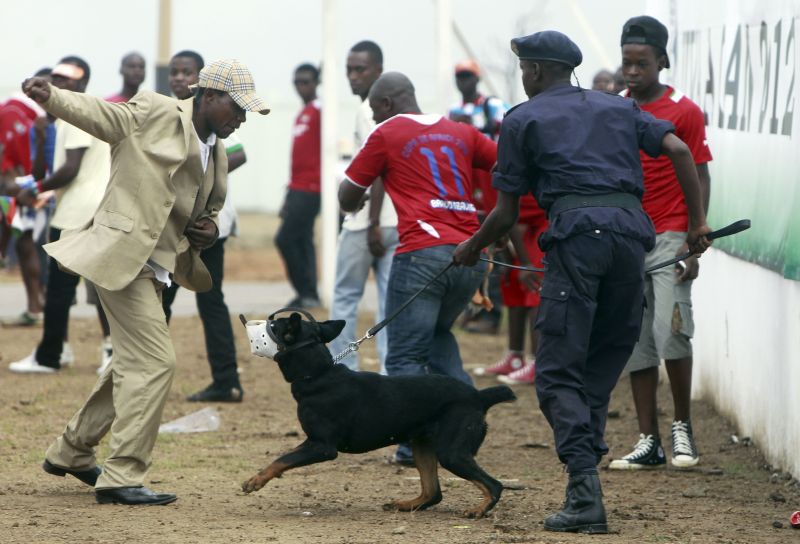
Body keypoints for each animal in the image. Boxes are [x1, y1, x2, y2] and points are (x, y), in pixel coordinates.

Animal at [244, 312, 516, 516]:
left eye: (272, 325)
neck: (317, 373)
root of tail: (478, 396)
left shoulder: (321, 446)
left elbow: (283, 458)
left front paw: (256, 480)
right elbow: (284, 457)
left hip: (452, 452)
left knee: (494, 485)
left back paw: (478, 510)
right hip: (422, 445)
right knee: (433, 492)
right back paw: (405, 504)